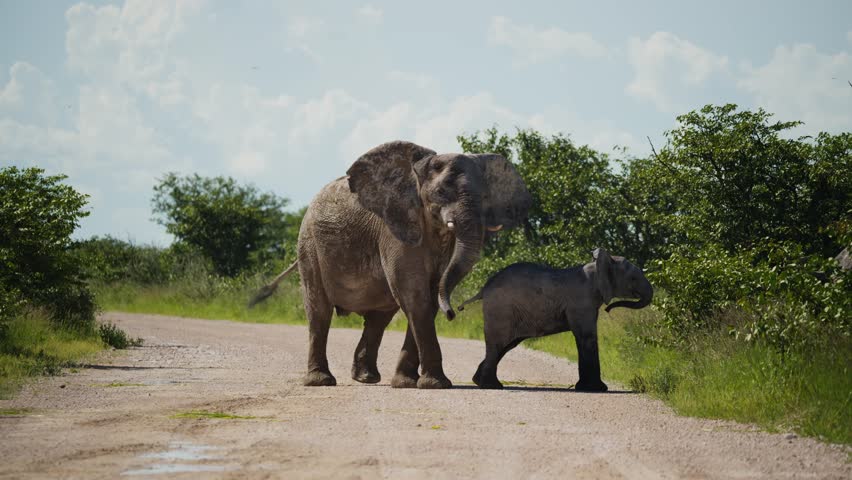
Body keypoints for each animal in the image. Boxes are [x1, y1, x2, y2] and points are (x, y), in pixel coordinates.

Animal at [252, 141, 531, 389]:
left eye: (485, 196)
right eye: (441, 193)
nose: (453, 313)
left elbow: (428, 295)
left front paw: (408, 384)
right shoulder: (394, 228)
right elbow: (415, 295)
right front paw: (436, 385)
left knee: (379, 317)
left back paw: (366, 378)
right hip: (309, 246)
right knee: (319, 310)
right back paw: (321, 381)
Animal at [458, 248, 653, 391]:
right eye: (633, 278)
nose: (608, 308)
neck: (596, 268)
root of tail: (483, 288)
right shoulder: (581, 302)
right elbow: (587, 336)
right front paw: (597, 389)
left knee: (505, 345)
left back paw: (481, 381)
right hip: (501, 310)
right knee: (499, 344)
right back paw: (491, 386)